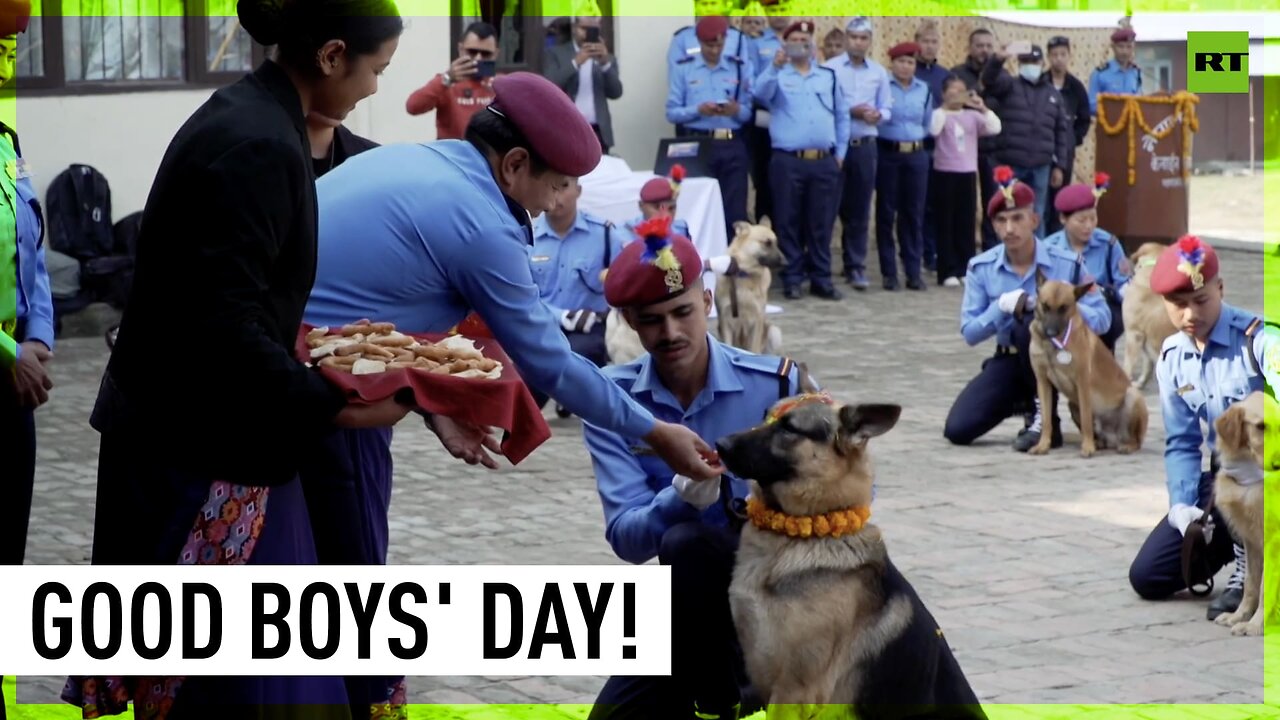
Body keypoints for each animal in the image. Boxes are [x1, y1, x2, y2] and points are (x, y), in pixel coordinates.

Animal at [716, 219, 783, 353]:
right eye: (767, 243)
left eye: (776, 243)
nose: (785, 262)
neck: (744, 274)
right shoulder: (725, 320)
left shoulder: (757, 321)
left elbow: (754, 349)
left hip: (774, 333)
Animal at [1029, 266, 1152, 456]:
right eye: (1045, 306)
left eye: (1064, 308)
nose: (1050, 332)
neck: (1052, 344)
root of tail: (1113, 439)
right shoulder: (1043, 383)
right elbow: (1046, 420)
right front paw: (1043, 445)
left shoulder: (1083, 383)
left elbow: (1087, 418)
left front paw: (1087, 447)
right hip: (1073, 404)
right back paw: (1098, 443)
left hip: (1133, 396)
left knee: (1136, 441)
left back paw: (1123, 446)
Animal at [1208, 392, 1280, 632]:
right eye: (1260, 426)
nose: (1278, 465)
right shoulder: (1250, 541)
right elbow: (1251, 582)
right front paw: (1239, 616)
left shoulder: (1272, 541)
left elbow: (1265, 586)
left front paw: (1255, 625)